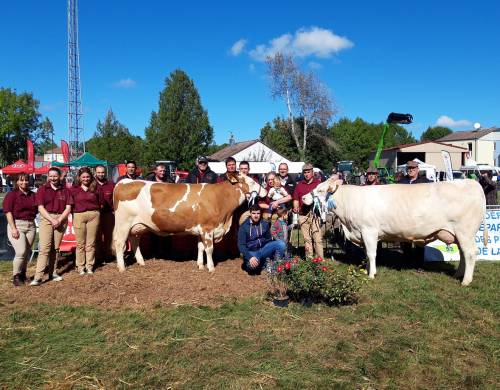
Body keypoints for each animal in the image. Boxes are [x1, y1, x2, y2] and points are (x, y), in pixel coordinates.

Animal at [112, 172, 268, 272]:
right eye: (252, 181)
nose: (266, 192)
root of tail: (123, 182)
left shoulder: (200, 230)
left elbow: (200, 247)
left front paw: (200, 265)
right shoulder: (207, 228)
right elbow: (209, 249)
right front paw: (211, 268)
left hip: (137, 225)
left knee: (134, 241)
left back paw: (141, 262)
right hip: (124, 223)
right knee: (120, 243)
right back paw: (122, 267)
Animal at [302, 180, 486, 286]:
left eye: (320, 191)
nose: (303, 198)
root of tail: (471, 181)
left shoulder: (369, 230)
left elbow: (371, 254)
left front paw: (371, 274)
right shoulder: (362, 233)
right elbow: (367, 254)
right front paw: (368, 271)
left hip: (465, 231)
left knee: (470, 253)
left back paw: (465, 281)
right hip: (459, 234)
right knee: (463, 254)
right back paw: (458, 274)